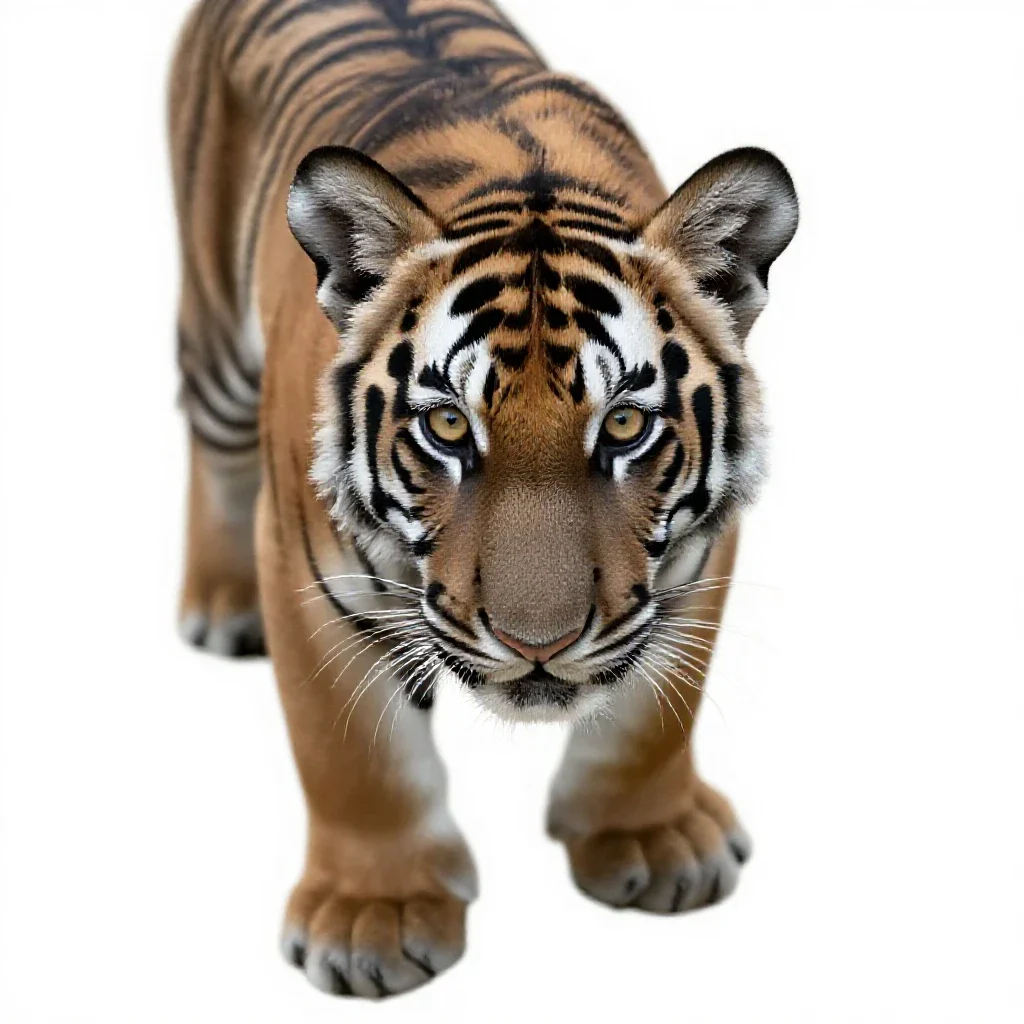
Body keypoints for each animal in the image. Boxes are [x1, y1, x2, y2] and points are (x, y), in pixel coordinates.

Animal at [169, 0, 798, 1000]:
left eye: (625, 426)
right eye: (448, 428)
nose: (536, 644)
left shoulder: (697, 553)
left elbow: (654, 715)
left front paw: (653, 842)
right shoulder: (308, 568)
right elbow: (355, 754)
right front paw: (375, 920)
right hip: (218, 338)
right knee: (211, 442)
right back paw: (223, 609)